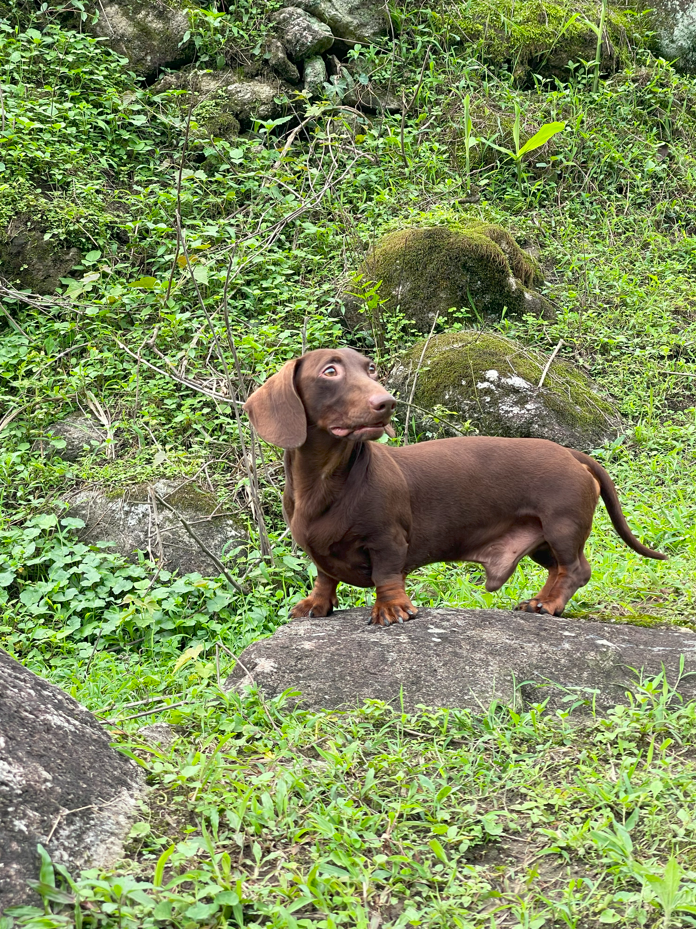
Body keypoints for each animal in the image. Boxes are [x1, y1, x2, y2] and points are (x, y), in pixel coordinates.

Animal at [243, 346, 664, 624]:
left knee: (575, 569)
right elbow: (325, 577)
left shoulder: (387, 539)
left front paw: (392, 608)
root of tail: (573, 454)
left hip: (562, 525)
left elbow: (386, 575)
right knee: (563, 568)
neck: (327, 480)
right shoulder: (320, 551)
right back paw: (540, 601)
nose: (387, 402)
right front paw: (315, 604)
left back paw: (547, 604)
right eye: (330, 371)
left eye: (371, 369)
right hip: (542, 540)